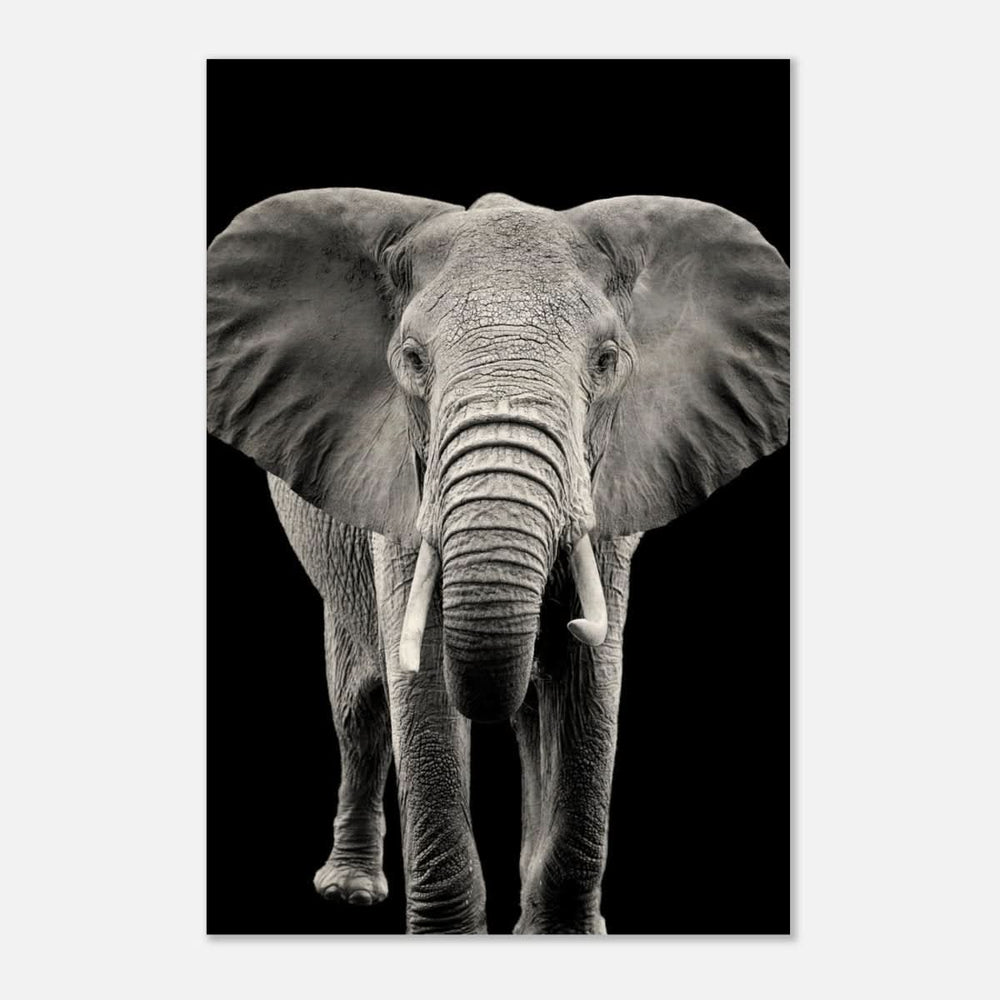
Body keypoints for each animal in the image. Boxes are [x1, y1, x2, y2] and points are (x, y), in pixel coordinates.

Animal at [207, 188, 789, 934]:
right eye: (412, 360)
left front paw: (564, 933)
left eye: (606, 361)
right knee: (360, 705)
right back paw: (350, 891)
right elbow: (421, 685)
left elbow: (589, 686)